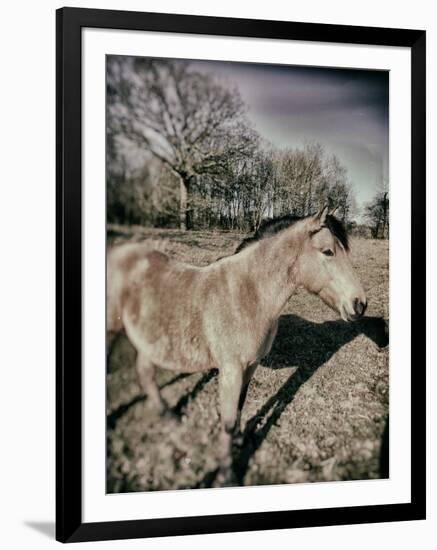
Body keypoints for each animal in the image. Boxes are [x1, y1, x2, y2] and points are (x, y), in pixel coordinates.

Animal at [107, 208, 366, 488]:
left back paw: (167, 416)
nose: (360, 304)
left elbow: (241, 404)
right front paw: (226, 475)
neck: (247, 295)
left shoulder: (250, 366)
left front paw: (241, 440)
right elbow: (228, 422)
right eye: (328, 251)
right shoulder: (231, 370)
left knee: (145, 372)